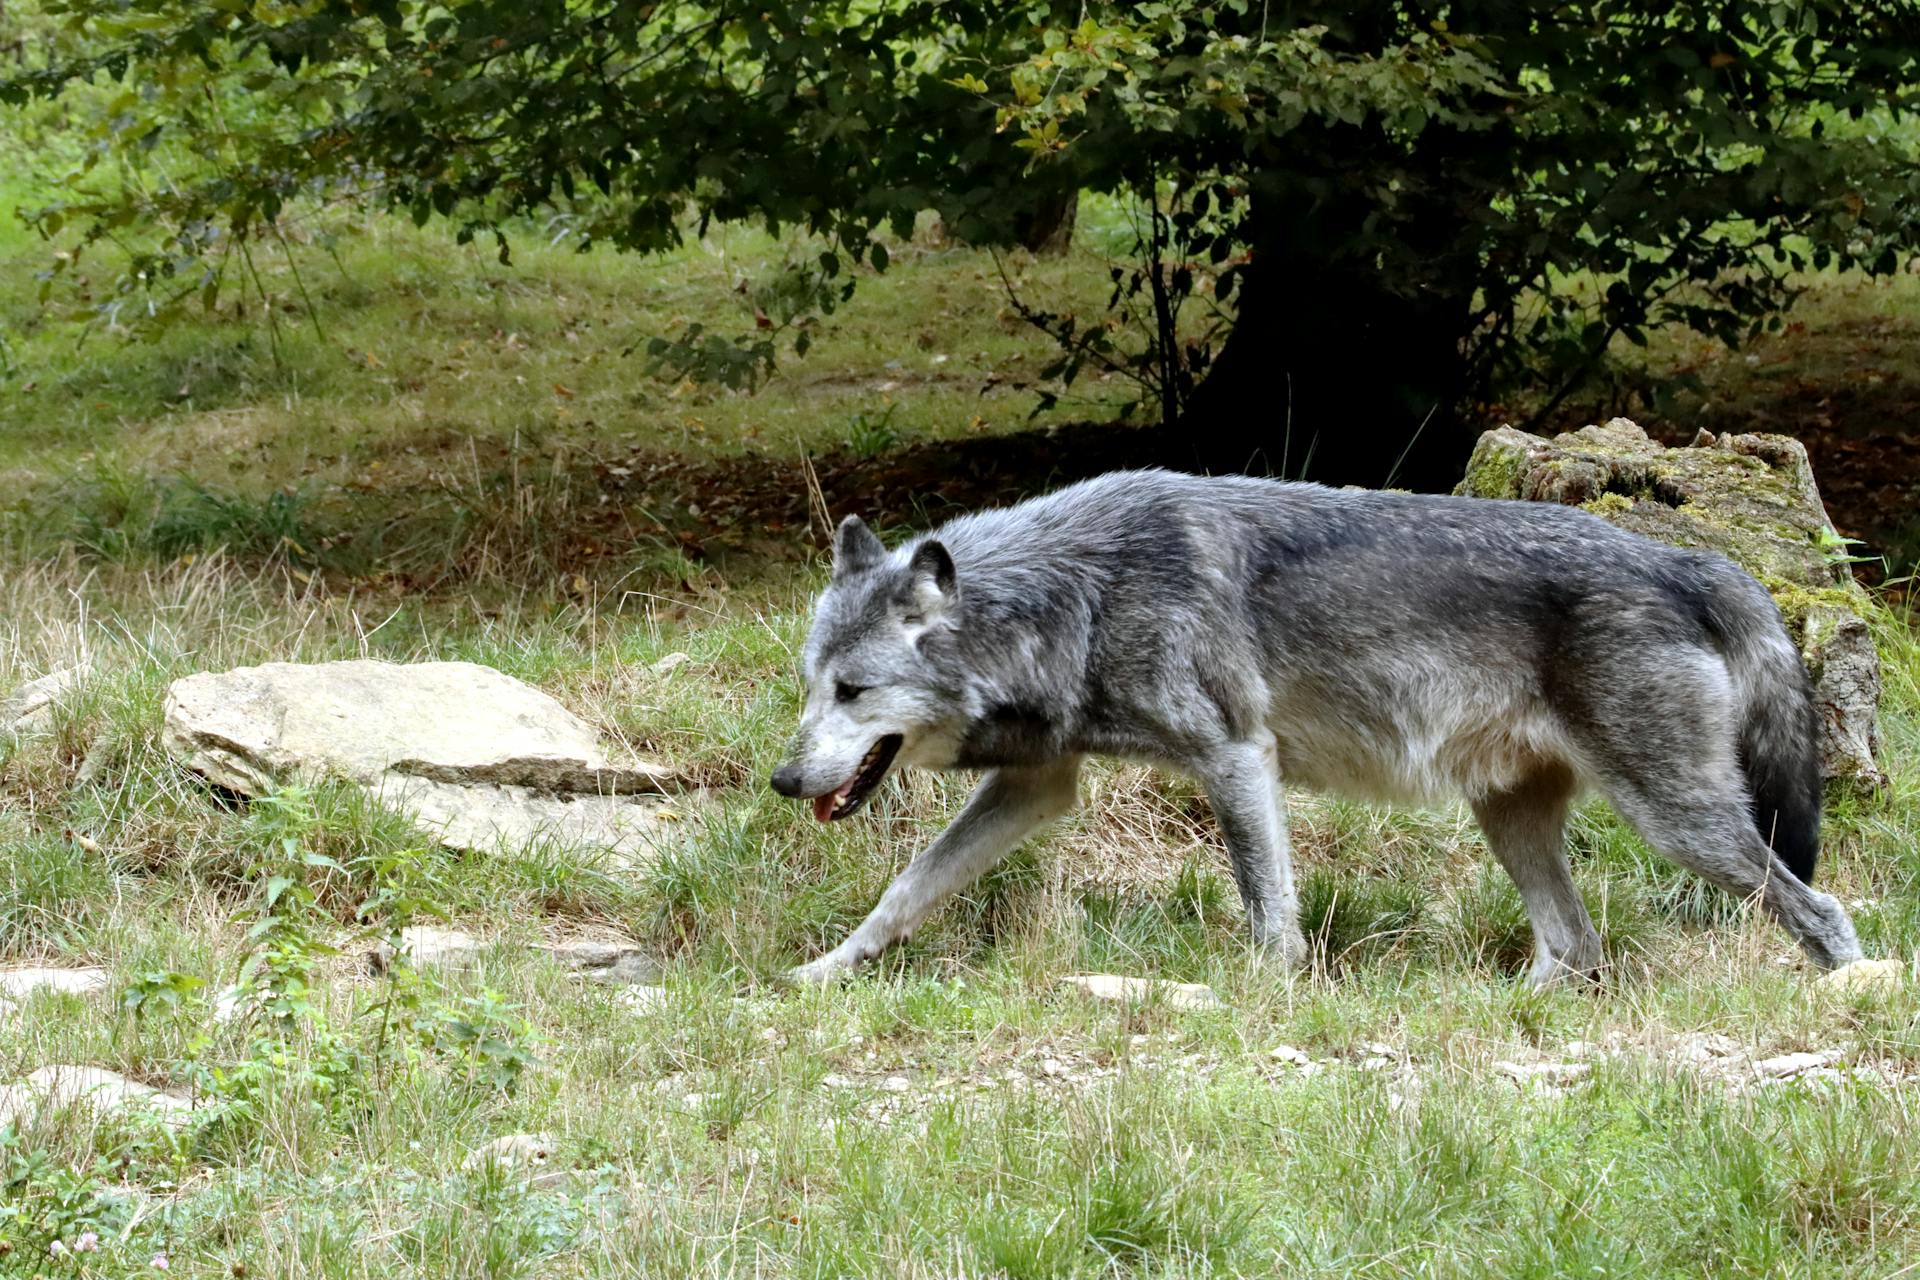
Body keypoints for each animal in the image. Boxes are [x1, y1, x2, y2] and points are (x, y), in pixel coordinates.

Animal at [768, 475, 1858, 990]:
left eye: (856, 690)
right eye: (810, 687)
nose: (781, 780)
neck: (1079, 595)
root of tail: (1688, 558)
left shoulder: (1234, 756)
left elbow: (1268, 911)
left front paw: (1264, 992)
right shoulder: (1040, 786)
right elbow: (903, 891)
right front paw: (821, 973)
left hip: (1681, 824)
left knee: (1822, 909)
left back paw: (1855, 995)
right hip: (1512, 820)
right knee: (1577, 947)